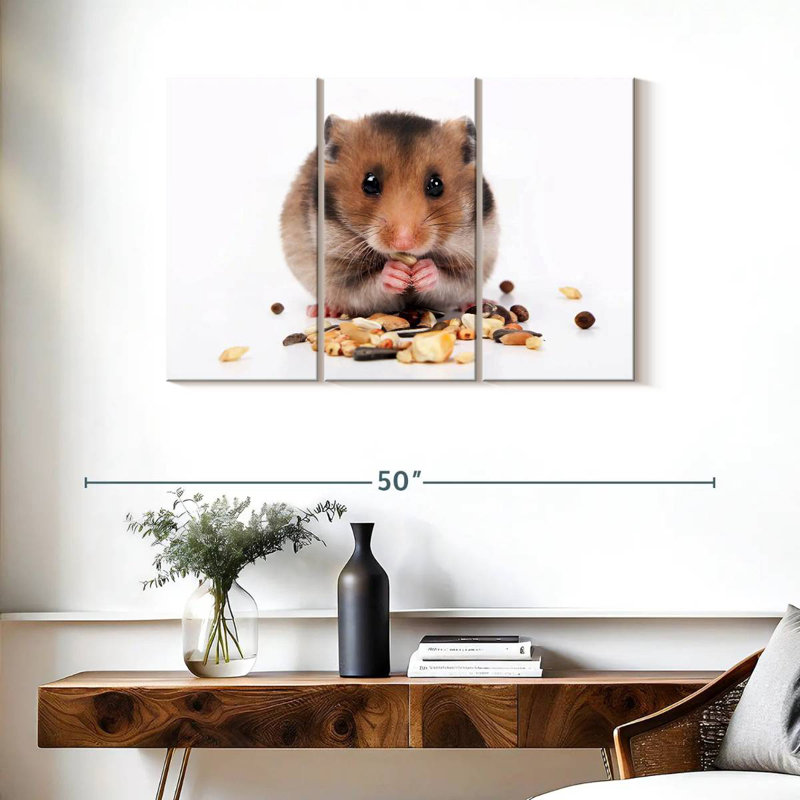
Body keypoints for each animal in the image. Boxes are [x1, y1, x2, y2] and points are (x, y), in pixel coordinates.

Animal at [281, 111, 498, 317]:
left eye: (436, 185)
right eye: (369, 183)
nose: (404, 243)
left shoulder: (473, 258)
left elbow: (449, 280)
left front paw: (424, 271)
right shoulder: (336, 268)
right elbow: (368, 285)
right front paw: (396, 273)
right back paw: (323, 310)